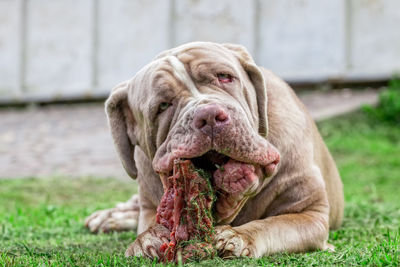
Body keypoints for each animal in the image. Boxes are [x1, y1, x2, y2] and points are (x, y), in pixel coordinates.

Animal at [84, 42, 344, 260]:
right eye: (163, 106)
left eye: (225, 77)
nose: (208, 115)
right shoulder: (150, 204)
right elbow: (149, 222)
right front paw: (148, 238)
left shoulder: (310, 214)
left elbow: (273, 224)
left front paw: (237, 237)